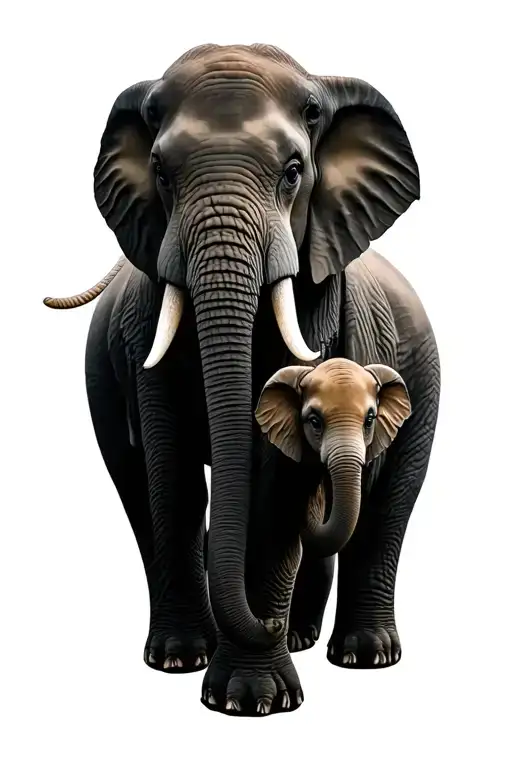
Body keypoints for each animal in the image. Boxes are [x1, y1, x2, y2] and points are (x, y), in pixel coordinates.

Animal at [43, 43, 440, 717]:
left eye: (293, 172)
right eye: (161, 173)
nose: (265, 623)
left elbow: (276, 480)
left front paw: (253, 698)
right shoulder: (141, 324)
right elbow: (170, 464)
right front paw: (190, 666)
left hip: (426, 381)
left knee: (391, 500)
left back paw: (359, 656)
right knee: (133, 479)